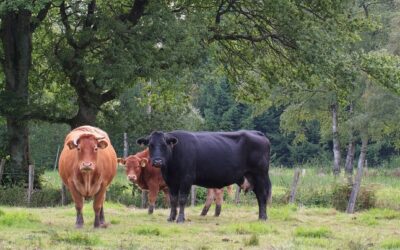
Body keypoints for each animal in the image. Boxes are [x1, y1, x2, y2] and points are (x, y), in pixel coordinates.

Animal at [138, 131, 272, 223]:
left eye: (164, 145)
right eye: (150, 145)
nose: (157, 161)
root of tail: (256, 132)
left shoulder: (186, 179)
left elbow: (182, 199)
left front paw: (180, 219)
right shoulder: (171, 182)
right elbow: (173, 200)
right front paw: (171, 217)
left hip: (260, 175)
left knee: (262, 196)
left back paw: (263, 217)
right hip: (252, 177)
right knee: (259, 196)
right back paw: (261, 216)